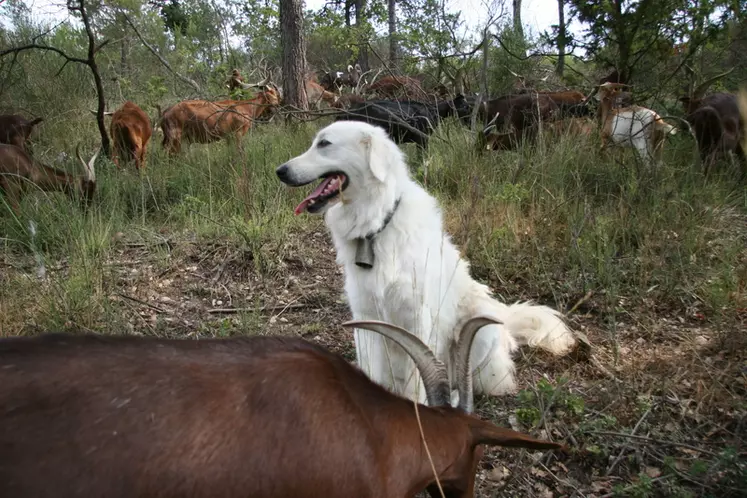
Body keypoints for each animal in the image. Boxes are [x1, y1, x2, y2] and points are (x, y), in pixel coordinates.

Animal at [278, 120, 576, 404]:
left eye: (324, 144)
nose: (280, 171)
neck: (377, 226)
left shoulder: (418, 317)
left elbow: (418, 380)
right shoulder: (365, 316)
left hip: (477, 330)